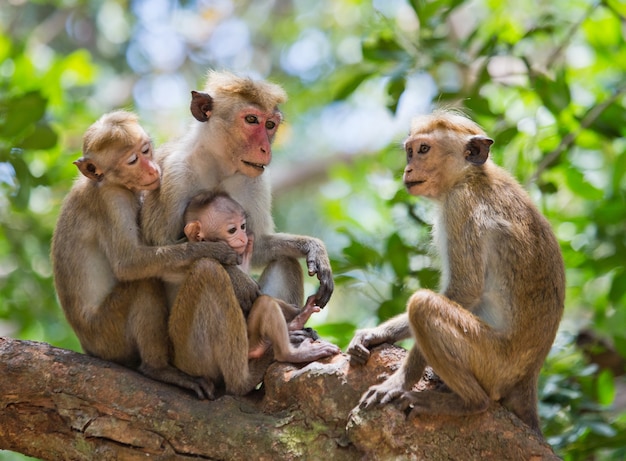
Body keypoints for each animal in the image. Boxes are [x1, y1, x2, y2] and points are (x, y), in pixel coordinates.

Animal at [50, 109, 236, 398]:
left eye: (146, 150)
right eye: (133, 160)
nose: (151, 168)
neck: (106, 182)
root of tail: (87, 346)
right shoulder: (112, 200)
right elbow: (129, 264)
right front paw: (214, 250)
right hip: (108, 335)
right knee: (143, 284)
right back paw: (158, 370)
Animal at [180, 190, 342, 362]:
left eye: (243, 226)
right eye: (232, 230)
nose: (243, 237)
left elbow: (258, 249)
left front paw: (313, 248)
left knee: (285, 261)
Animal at [346, 109, 564, 434]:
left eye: (424, 149)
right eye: (410, 150)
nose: (408, 169)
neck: (471, 176)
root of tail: (528, 377)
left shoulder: (461, 208)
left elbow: (464, 290)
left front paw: (399, 381)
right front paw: (374, 334)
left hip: (493, 363)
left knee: (423, 305)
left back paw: (468, 402)